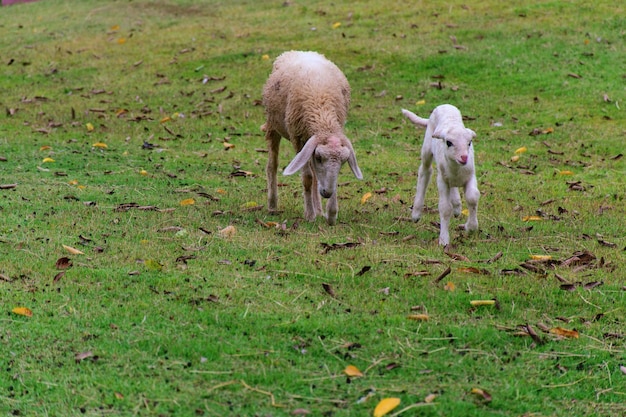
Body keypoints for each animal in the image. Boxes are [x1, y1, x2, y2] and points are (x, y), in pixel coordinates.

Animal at [260, 50, 364, 226]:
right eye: (320, 157)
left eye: (344, 162)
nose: (327, 193)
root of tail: (299, 51)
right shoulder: (298, 139)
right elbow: (307, 177)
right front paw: (309, 215)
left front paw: (330, 214)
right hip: (274, 126)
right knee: (272, 165)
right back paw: (272, 204)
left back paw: (319, 209)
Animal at [400, 104, 478, 245]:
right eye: (449, 142)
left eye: (469, 143)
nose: (464, 157)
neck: (456, 169)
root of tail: (443, 106)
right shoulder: (442, 180)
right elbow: (445, 208)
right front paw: (444, 240)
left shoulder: (470, 176)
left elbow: (472, 198)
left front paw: (470, 227)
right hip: (427, 147)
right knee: (425, 171)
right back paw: (416, 214)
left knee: (453, 187)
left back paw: (457, 206)